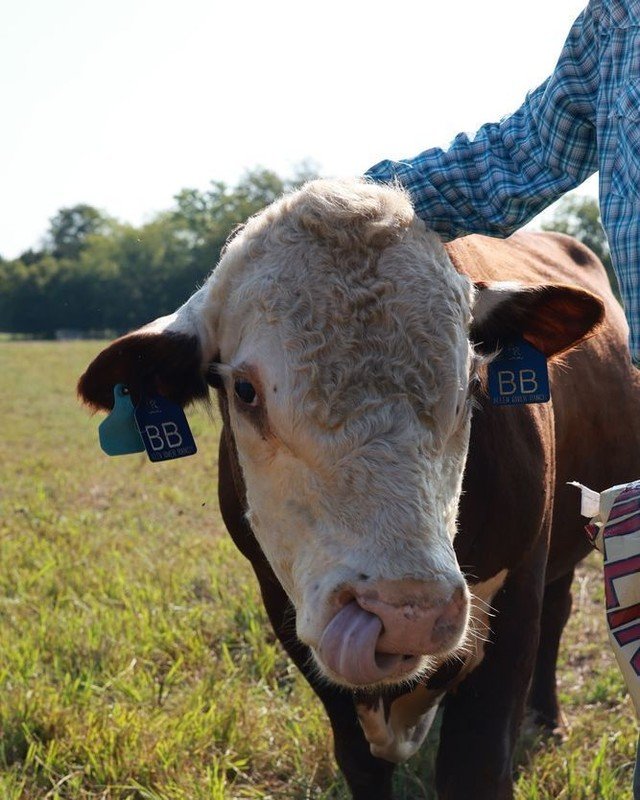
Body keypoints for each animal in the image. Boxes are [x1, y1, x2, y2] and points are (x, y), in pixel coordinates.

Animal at [78, 179, 640, 799]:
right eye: (245, 391)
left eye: (473, 383)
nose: (407, 610)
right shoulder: (290, 610)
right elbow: (361, 762)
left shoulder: (517, 600)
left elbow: (475, 763)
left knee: (560, 615)